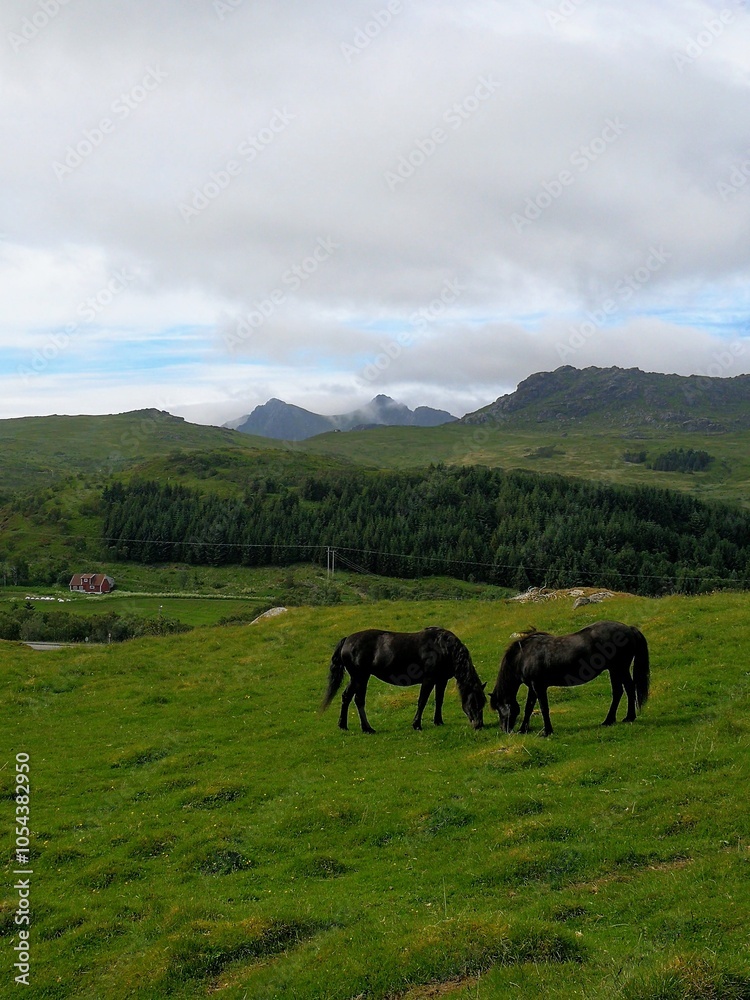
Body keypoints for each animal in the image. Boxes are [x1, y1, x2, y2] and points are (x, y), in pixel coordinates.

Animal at [320, 626, 486, 733]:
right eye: (474, 701)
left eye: (483, 702)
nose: (479, 725)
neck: (443, 647)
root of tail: (347, 639)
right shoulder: (428, 680)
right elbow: (422, 701)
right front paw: (417, 725)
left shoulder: (441, 680)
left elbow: (439, 700)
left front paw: (438, 721)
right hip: (360, 677)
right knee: (358, 700)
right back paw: (366, 728)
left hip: (358, 678)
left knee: (348, 697)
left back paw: (345, 725)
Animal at [490, 620, 650, 736]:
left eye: (499, 708)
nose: (505, 730)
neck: (525, 655)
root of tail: (629, 629)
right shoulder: (532, 687)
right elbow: (529, 708)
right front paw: (523, 729)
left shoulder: (539, 686)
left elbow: (544, 708)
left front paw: (547, 731)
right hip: (614, 670)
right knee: (618, 692)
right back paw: (609, 720)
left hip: (620, 668)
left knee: (629, 688)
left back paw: (629, 717)